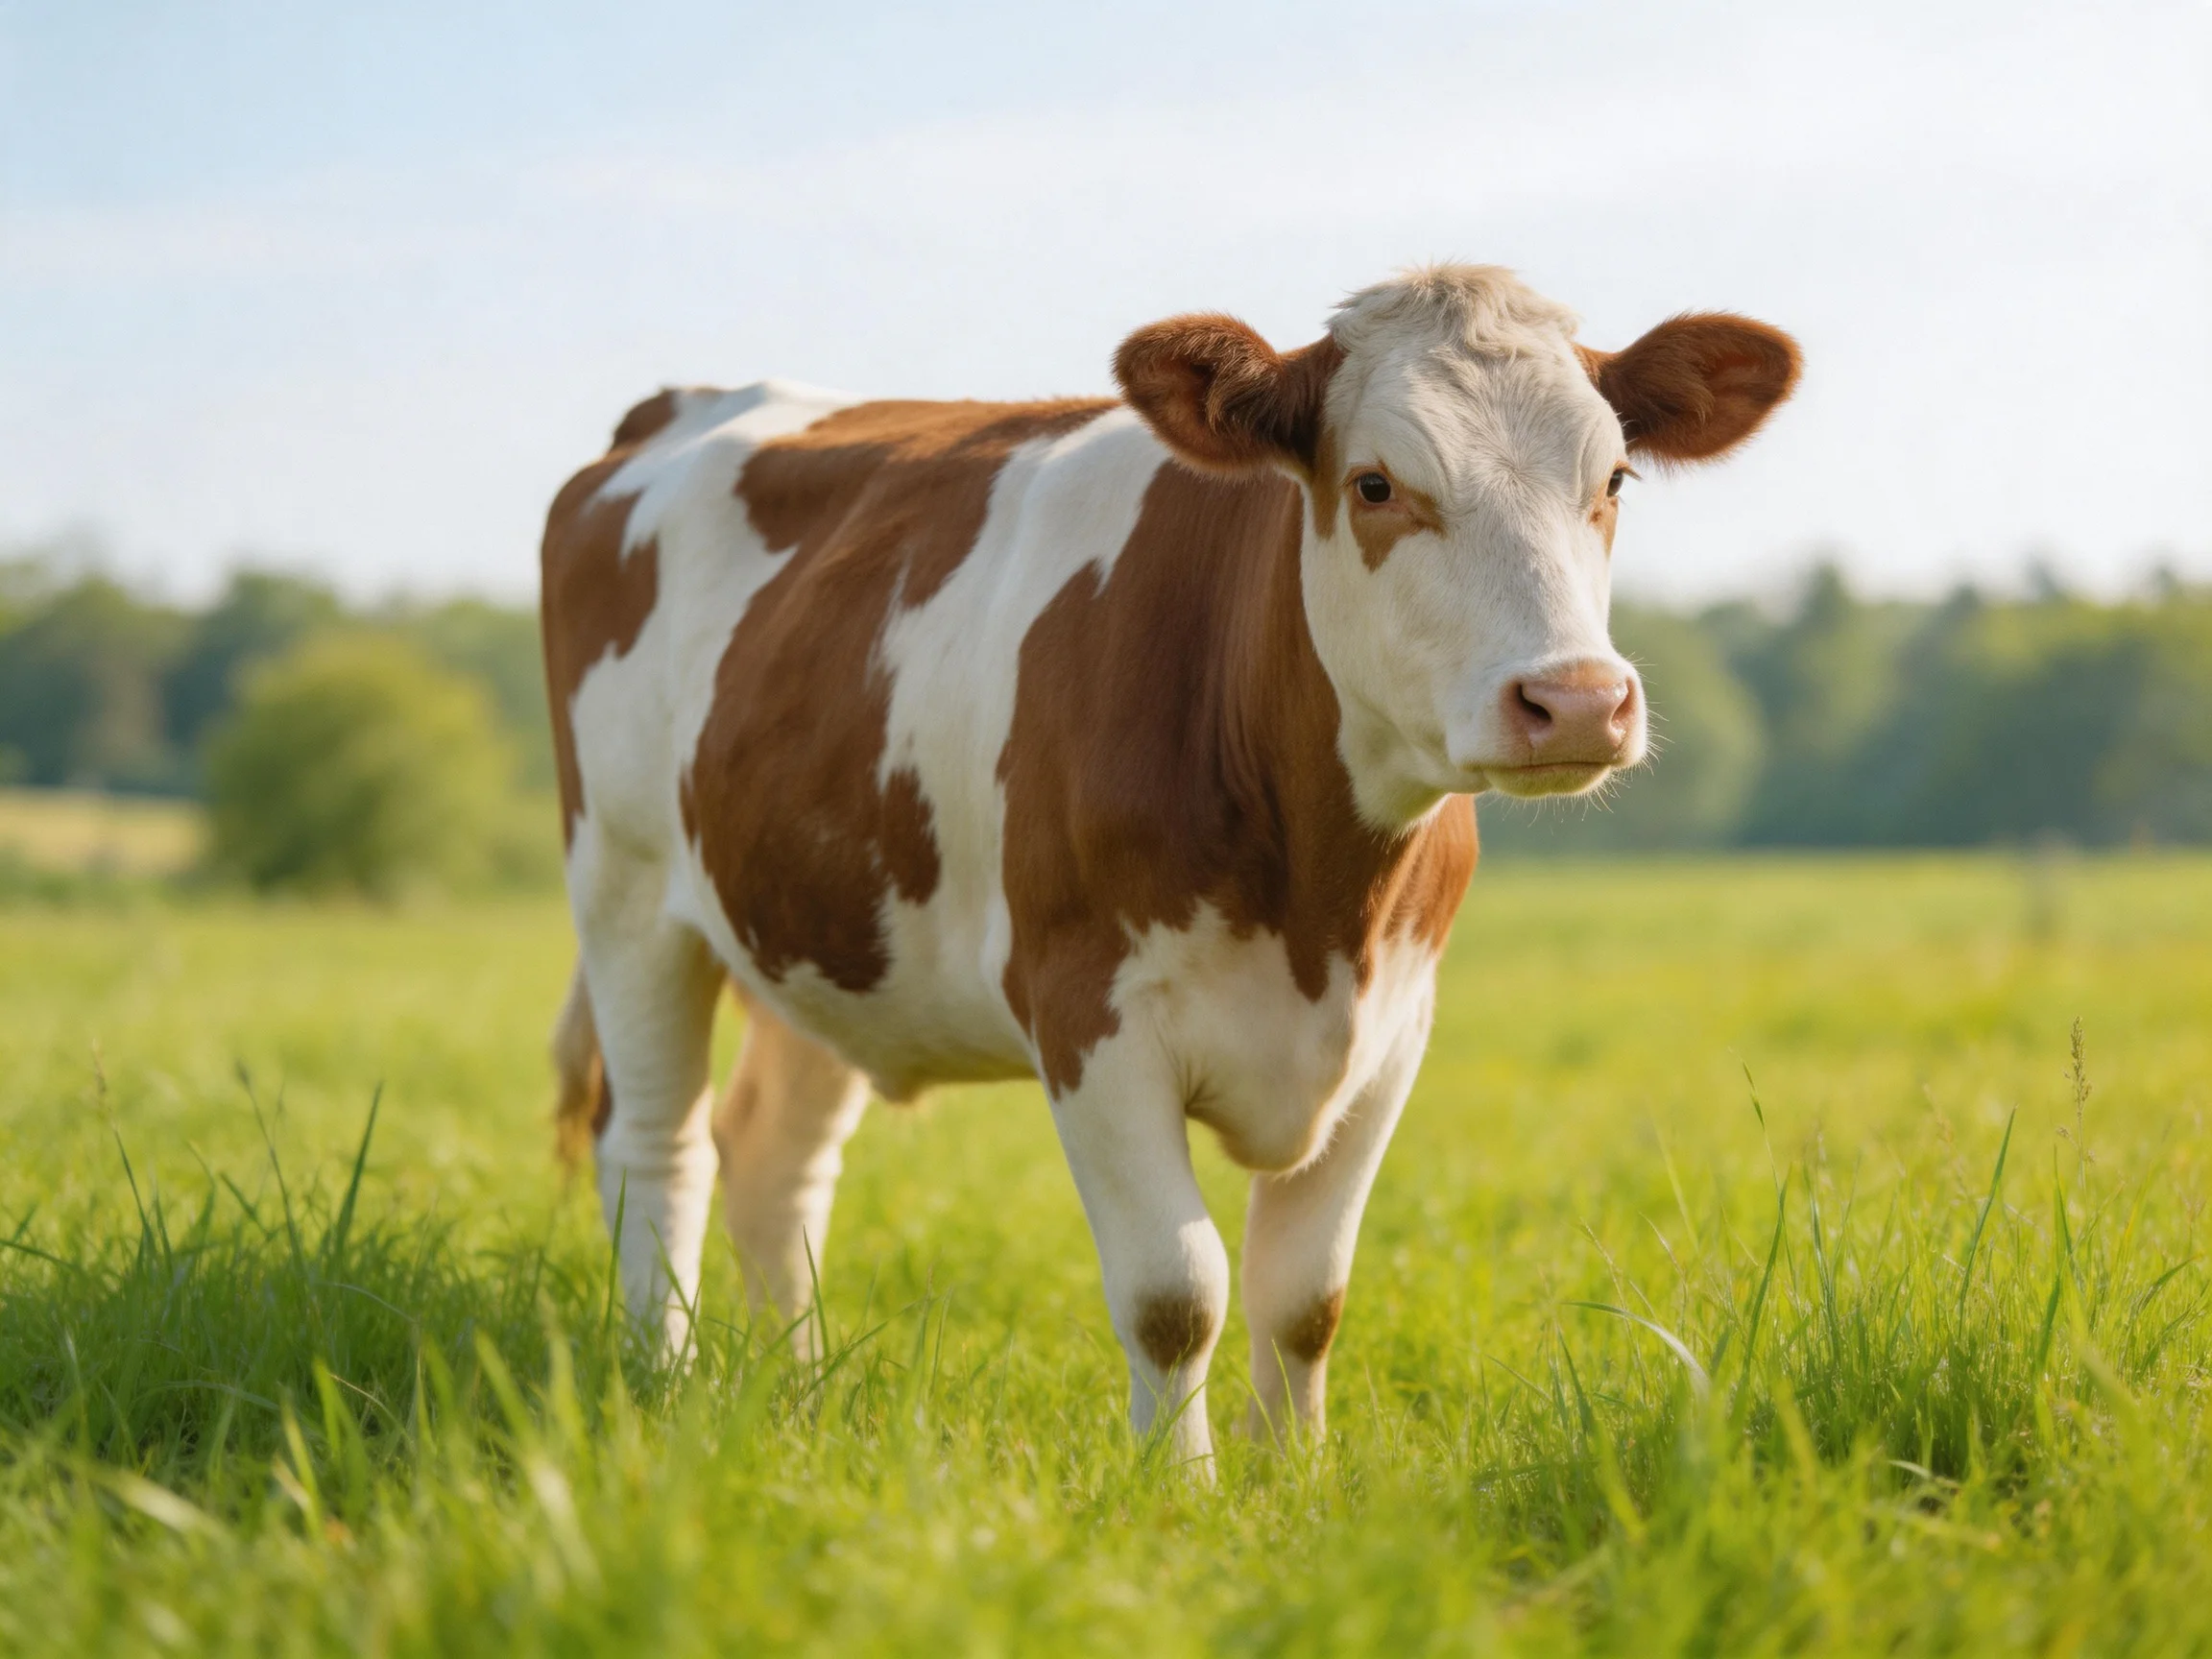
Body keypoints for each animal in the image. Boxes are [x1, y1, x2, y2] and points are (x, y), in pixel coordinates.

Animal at [540, 264, 1798, 1465]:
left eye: (1615, 480)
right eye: (1376, 485)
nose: (1576, 700)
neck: (1320, 910)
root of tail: (683, 404)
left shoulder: (1395, 1028)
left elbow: (1306, 1298)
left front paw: (1293, 1482)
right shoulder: (1088, 1012)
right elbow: (1175, 1292)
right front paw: (1177, 1492)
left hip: (826, 929)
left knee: (775, 1160)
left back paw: (793, 1397)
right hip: (627, 893)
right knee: (656, 1146)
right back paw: (662, 1380)